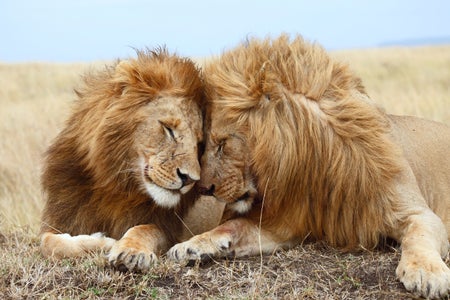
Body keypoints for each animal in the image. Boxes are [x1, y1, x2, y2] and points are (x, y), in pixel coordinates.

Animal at [40, 48, 206, 274]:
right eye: (168, 129)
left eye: (199, 143)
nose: (190, 179)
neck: (116, 184)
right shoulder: (62, 219)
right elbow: (48, 243)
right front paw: (102, 242)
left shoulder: (168, 228)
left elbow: (144, 229)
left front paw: (130, 252)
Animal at [168, 35, 450, 298]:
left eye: (223, 143)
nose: (203, 188)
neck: (316, 162)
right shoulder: (285, 224)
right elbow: (233, 226)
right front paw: (192, 245)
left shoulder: (416, 212)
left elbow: (419, 236)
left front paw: (427, 273)